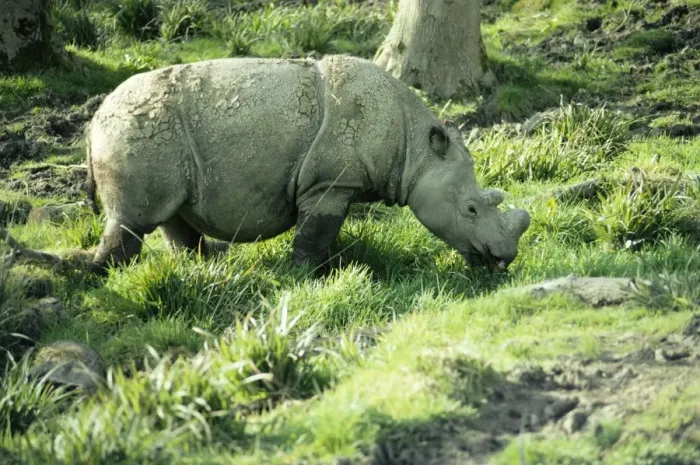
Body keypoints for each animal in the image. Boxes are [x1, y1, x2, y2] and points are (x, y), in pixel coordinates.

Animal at [85, 55, 530, 275]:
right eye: (471, 209)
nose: (504, 258)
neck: (415, 150)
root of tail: (95, 119)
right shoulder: (330, 182)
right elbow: (315, 233)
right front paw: (305, 276)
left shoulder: (336, 183)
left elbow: (323, 234)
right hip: (137, 132)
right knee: (132, 220)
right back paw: (107, 278)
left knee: (173, 215)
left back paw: (200, 269)